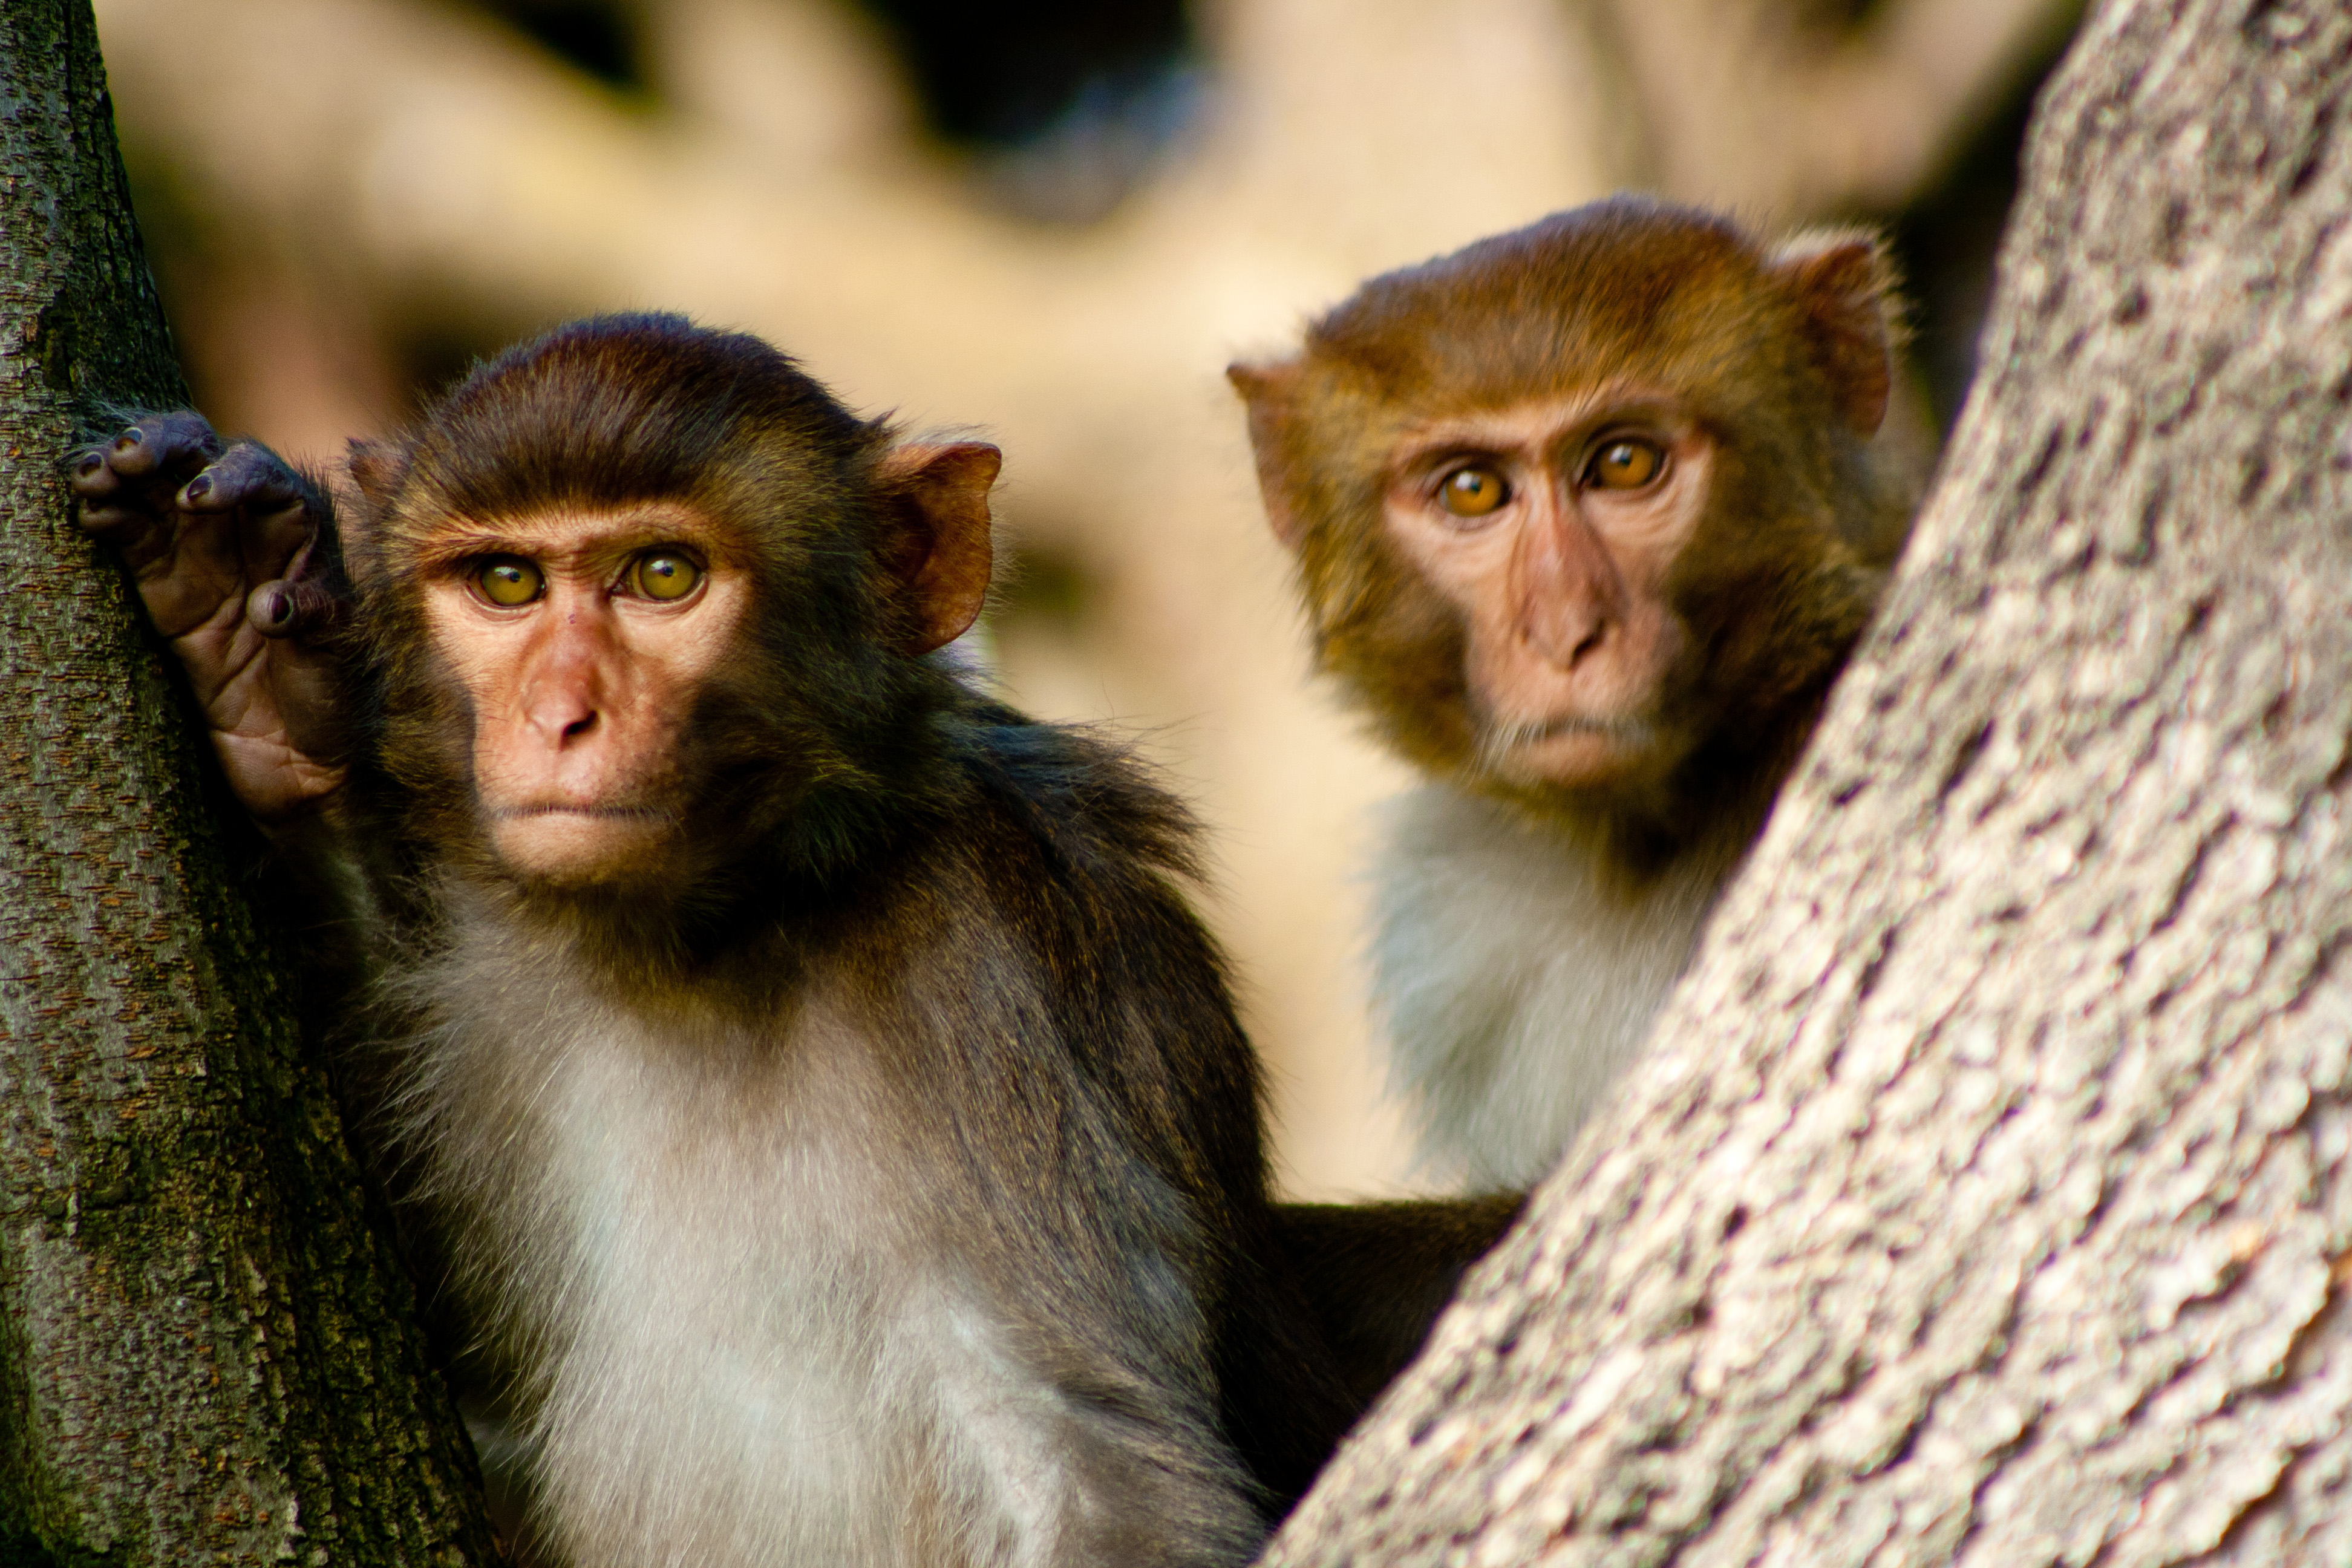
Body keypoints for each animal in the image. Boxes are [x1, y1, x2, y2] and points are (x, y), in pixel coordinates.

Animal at [78, 312, 1364, 1561]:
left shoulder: (1004, 962)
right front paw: (268, 666)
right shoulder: (494, 990)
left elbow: (1089, 1462)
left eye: (663, 575)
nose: (561, 717)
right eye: (506, 583)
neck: (732, 924)